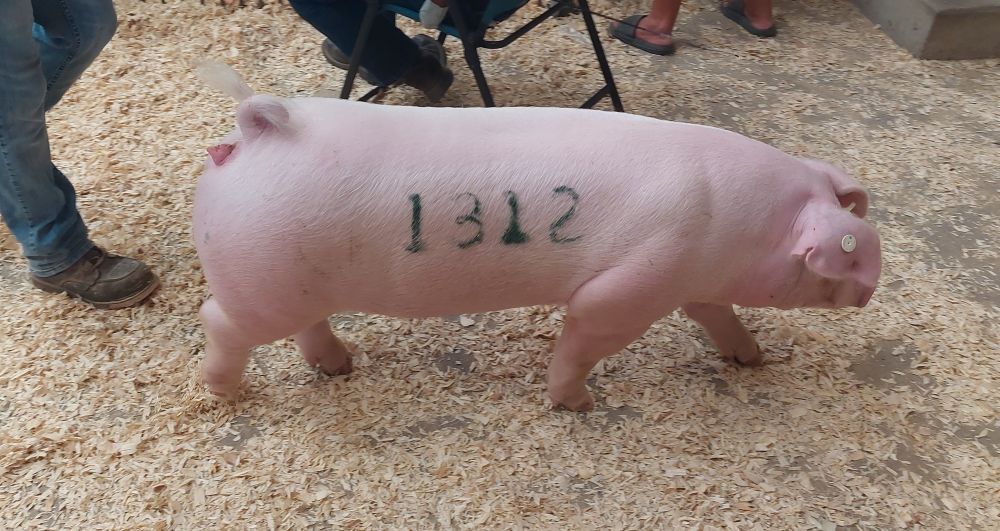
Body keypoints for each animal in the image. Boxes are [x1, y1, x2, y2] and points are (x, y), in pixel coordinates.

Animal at [192, 62, 881, 411]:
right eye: (844, 254)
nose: (873, 286)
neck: (735, 225)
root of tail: (257, 129)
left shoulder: (694, 282)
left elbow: (717, 314)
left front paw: (752, 359)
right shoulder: (635, 284)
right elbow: (584, 336)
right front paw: (576, 405)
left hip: (293, 284)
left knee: (308, 327)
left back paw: (339, 367)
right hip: (259, 286)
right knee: (218, 321)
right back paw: (224, 394)